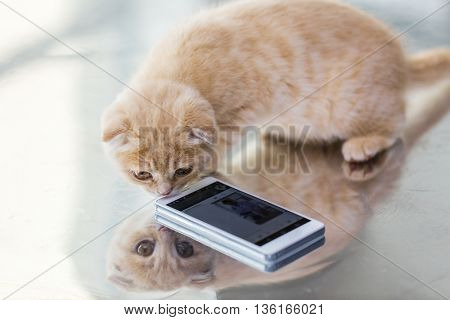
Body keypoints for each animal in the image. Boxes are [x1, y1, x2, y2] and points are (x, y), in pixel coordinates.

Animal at [101, 0, 450, 196]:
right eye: (142, 174)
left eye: (182, 171)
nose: (164, 192)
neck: (179, 66)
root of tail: (401, 60)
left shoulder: (243, 110)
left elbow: (222, 140)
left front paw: (210, 163)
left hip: (355, 105)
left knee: (397, 120)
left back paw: (365, 142)